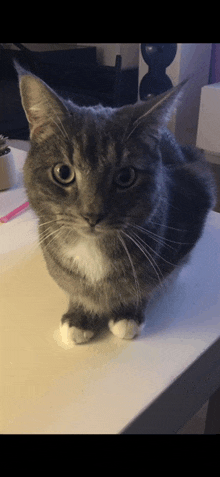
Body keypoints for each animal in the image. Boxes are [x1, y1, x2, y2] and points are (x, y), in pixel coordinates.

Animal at [15, 64, 217, 346]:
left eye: (125, 177)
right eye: (63, 172)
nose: (92, 214)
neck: (92, 248)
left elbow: (147, 284)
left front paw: (127, 315)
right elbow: (74, 287)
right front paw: (79, 316)